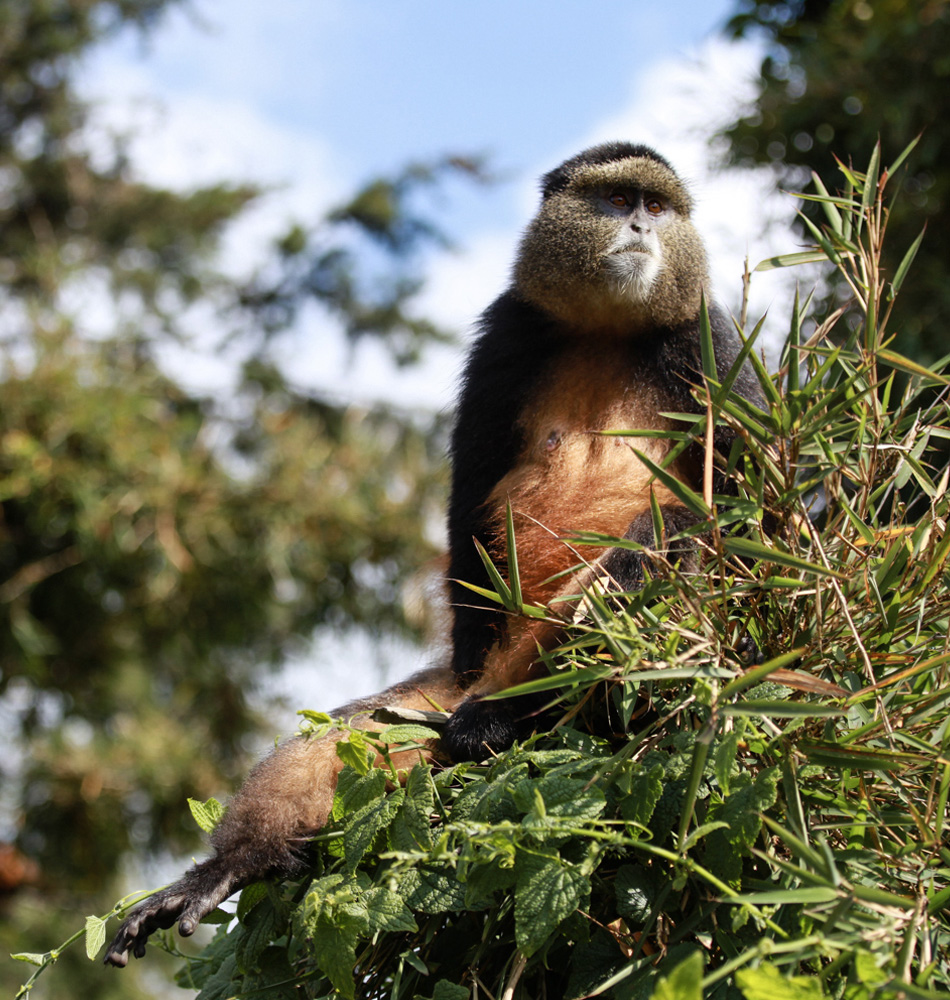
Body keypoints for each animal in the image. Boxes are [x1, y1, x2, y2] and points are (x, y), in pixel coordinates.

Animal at [104, 141, 762, 967]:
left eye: (659, 207)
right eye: (616, 201)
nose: (642, 226)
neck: (606, 328)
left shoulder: (709, 342)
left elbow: (745, 500)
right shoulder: (505, 335)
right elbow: (472, 489)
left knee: (652, 556)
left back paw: (513, 714)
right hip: (443, 690)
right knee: (352, 737)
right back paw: (233, 863)